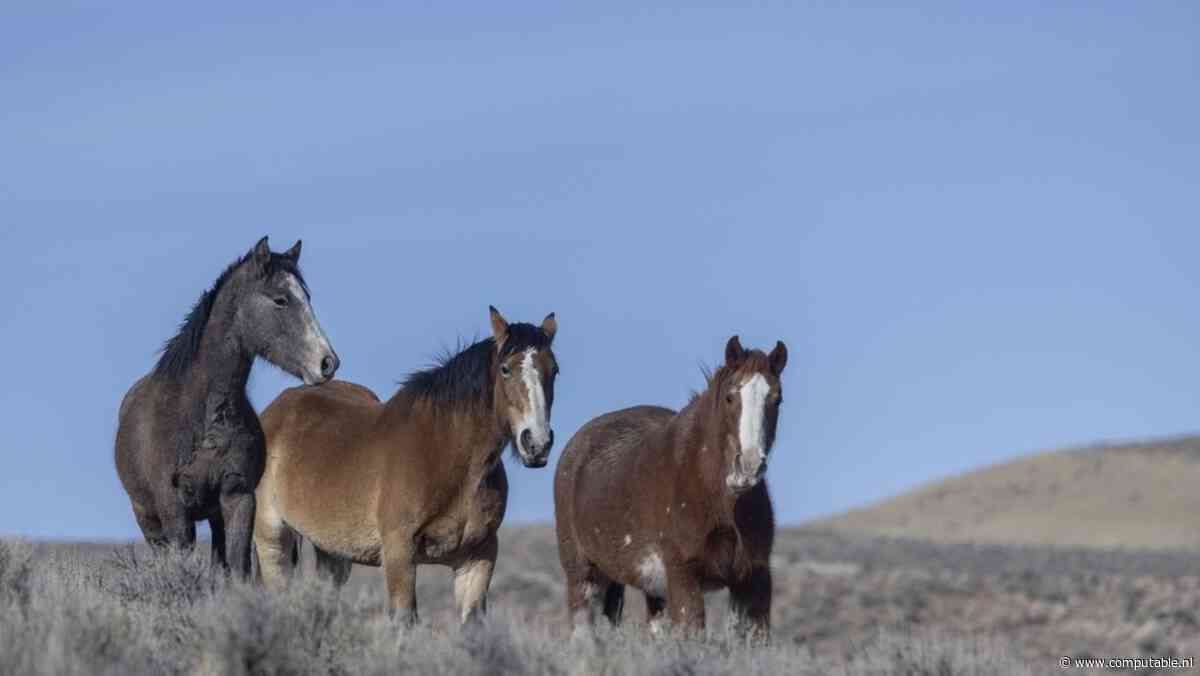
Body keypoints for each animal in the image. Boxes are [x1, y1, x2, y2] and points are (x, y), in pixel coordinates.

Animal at [115, 236, 339, 578]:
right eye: (281, 300)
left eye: (307, 298)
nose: (327, 363)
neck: (204, 417)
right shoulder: (174, 509)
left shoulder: (237, 498)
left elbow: (236, 568)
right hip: (148, 519)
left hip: (214, 515)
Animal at [254, 306, 559, 625]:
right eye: (505, 369)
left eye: (554, 370)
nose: (537, 443)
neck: (449, 455)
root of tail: (273, 412)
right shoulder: (399, 554)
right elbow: (404, 619)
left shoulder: (478, 557)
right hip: (273, 540)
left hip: (332, 552)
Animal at [554, 336, 787, 640]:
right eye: (730, 397)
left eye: (777, 399)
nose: (747, 467)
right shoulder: (683, 576)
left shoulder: (754, 580)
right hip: (583, 578)